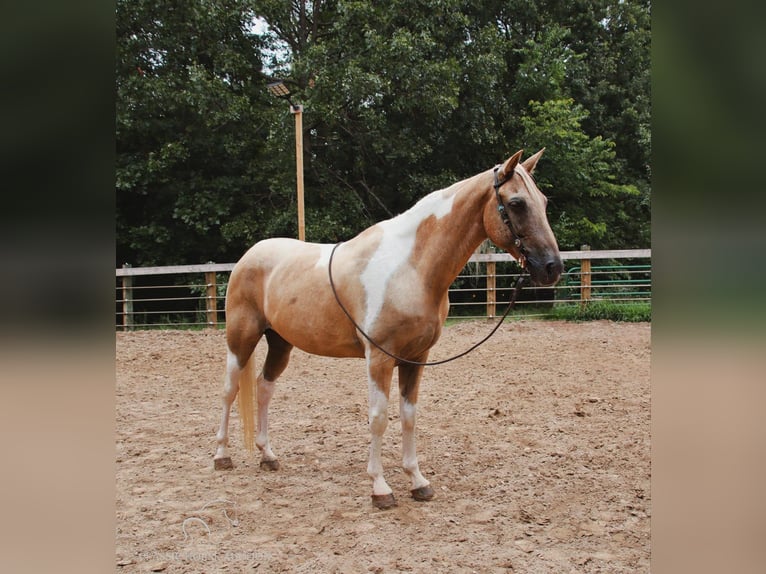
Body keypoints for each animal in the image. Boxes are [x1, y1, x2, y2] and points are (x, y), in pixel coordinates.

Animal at [214, 151, 564, 510]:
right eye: (517, 203)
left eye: (544, 201)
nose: (552, 267)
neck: (411, 267)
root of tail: (248, 257)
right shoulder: (379, 358)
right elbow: (379, 417)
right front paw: (380, 488)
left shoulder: (415, 358)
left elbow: (408, 416)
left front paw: (418, 481)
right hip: (241, 339)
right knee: (229, 390)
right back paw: (222, 455)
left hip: (280, 343)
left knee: (264, 387)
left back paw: (267, 455)